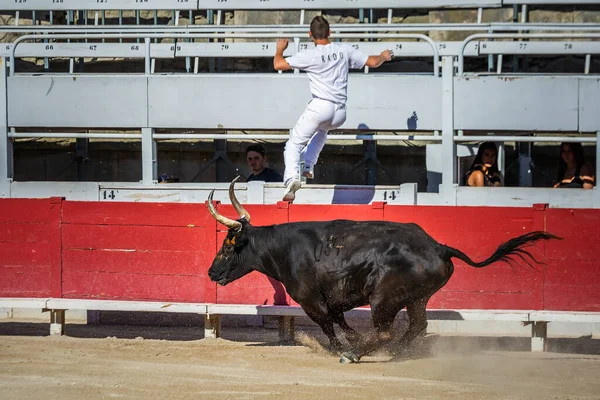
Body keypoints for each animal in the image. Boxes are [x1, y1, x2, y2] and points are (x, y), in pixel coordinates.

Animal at [205, 177, 556, 362]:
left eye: (227, 247)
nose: (211, 274)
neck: (285, 248)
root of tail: (439, 246)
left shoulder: (310, 300)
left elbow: (329, 327)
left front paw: (343, 349)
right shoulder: (334, 300)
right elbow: (341, 322)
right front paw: (353, 341)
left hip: (383, 299)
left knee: (387, 329)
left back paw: (359, 354)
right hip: (416, 298)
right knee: (417, 326)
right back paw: (396, 351)